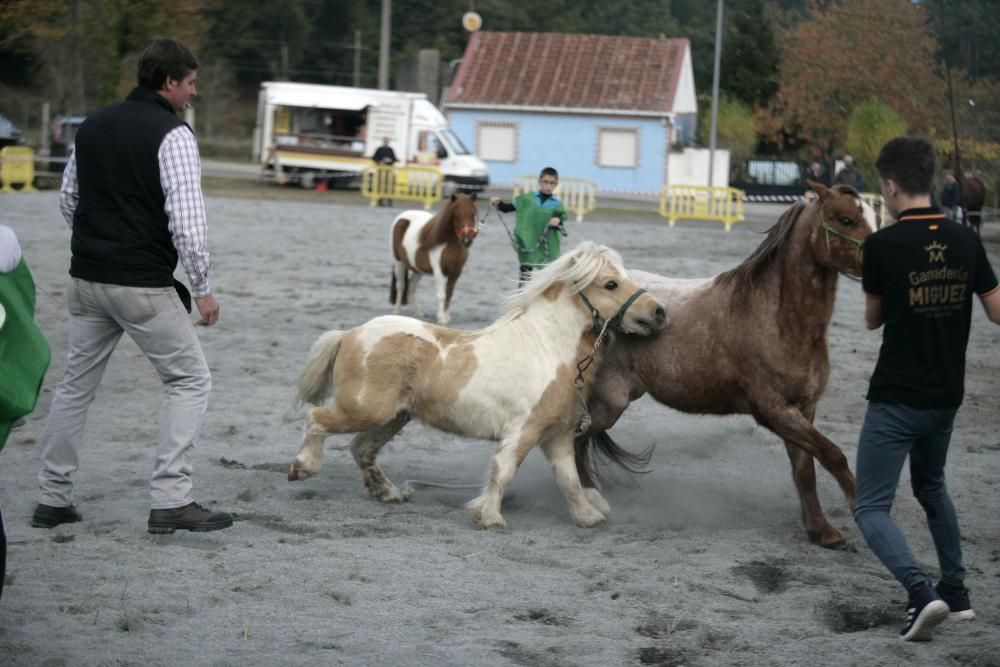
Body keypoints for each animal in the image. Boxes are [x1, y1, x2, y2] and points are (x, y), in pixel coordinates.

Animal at [286, 243, 668, 528]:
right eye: (610, 284)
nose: (660, 312)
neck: (548, 347)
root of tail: (350, 334)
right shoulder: (523, 431)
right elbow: (504, 471)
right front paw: (489, 517)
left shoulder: (557, 436)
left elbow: (570, 481)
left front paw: (587, 516)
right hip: (366, 410)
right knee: (317, 419)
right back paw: (303, 467)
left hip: (393, 416)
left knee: (361, 448)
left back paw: (388, 493)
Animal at [390, 193, 480, 326]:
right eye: (456, 214)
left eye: (473, 214)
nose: (467, 240)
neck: (449, 244)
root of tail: (402, 217)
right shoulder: (439, 271)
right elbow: (441, 295)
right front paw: (441, 319)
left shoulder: (456, 272)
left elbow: (449, 294)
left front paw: (447, 317)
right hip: (399, 263)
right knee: (400, 285)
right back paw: (396, 312)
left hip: (418, 269)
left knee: (411, 286)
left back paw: (417, 313)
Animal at [576, 181, 880, 548]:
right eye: (846, 219)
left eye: (877, 217)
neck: (778, 317)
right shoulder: (775, 411)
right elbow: (834, 455)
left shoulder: (803, 410)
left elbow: (805, 469)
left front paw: (822, 531)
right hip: (609, 403)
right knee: (573, 440)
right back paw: (589, 500)